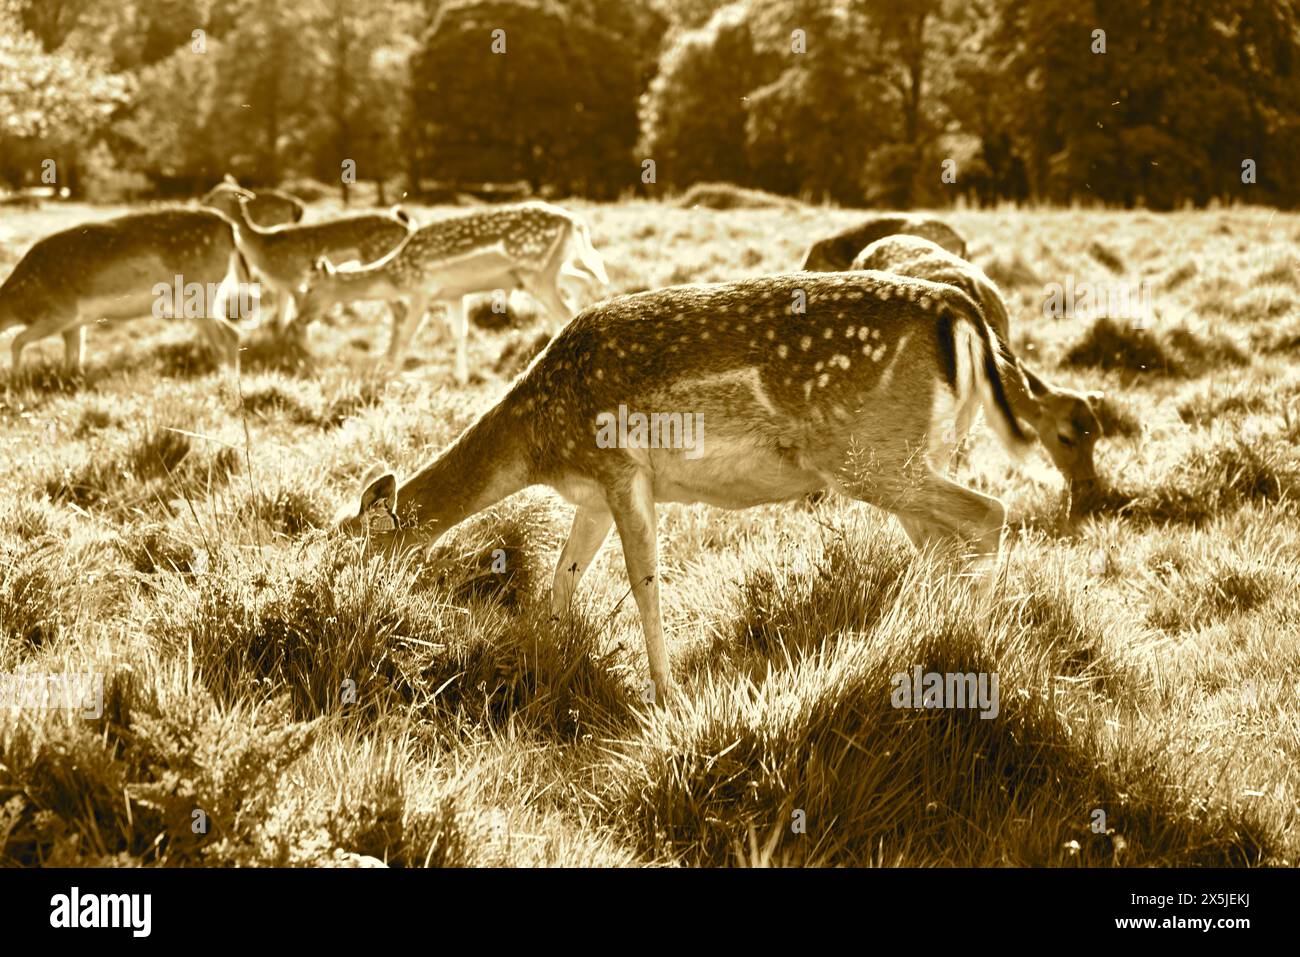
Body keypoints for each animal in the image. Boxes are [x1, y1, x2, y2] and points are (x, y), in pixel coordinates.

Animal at [1, 207, 251, 373]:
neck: (20, 303)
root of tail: (230, 228)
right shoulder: (74, 324)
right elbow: (73, 358)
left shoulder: (61, 311)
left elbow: (16, 341)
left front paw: (16, 378)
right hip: (190, 298)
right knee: (223, 336)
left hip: (197, 290)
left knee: (229, 333)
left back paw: (226, 381)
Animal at [297, 201, 609, 384]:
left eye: (309, 288)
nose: (300, 319)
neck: (396, 275)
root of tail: (573, 221)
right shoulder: (453, 294)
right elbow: (460, 332)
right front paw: (461, 377)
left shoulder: (422, 292)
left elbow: (407, 333)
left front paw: (392, 377)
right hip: (549, 268)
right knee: (581, 281)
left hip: (536, 272)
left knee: (564, 310)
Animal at [331, 271, 1033, 702]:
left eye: (354, 542)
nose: (339, 600)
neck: (540, 445)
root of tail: (960, 314)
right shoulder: (591, 495)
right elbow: (562, 576)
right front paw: (548, 654)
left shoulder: (621, 468)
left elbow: (644, 581)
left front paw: (663, 693)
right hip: (913, 453)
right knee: (944, 545)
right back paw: (926, 641)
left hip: (870, 456)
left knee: (989, 512)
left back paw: (971, 650)